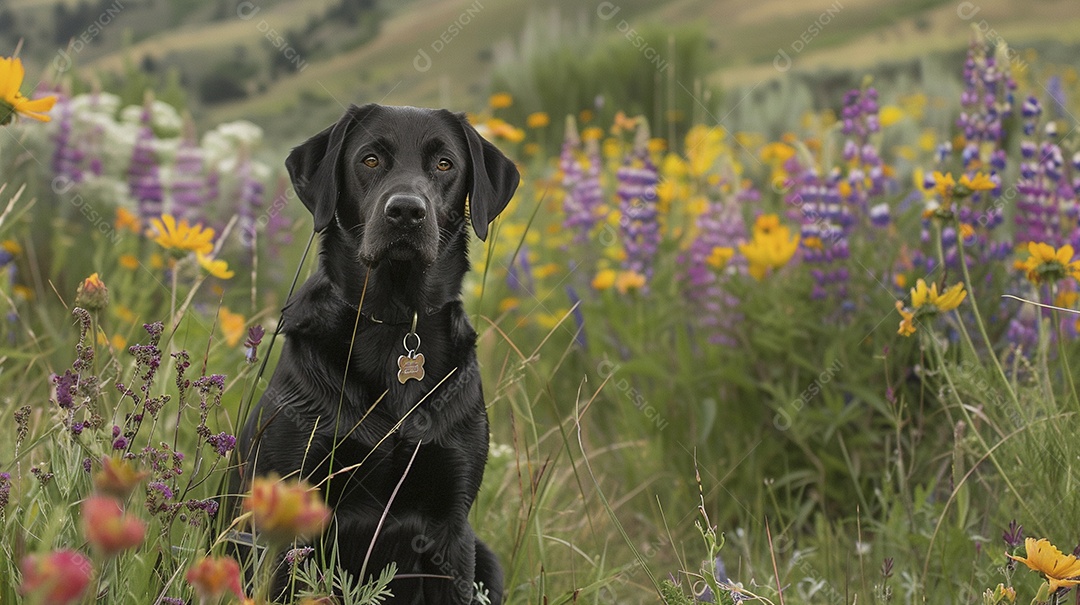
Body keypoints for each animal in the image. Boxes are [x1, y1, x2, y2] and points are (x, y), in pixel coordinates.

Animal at [237, 105, 522, 605]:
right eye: (370, 159)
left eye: (444, 164)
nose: (406, 211)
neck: (394, 323)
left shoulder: (451, 527)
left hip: (485, 556)